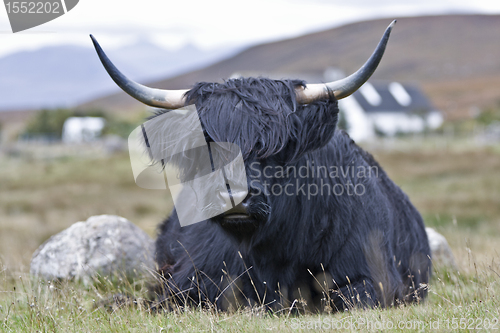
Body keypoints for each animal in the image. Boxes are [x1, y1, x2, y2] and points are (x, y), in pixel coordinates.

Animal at [92, 20, 432, 312]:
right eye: (205, 144)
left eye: (278, 146)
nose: (234, 196)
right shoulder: (191, 278)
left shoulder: (374, 278)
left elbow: (350, 297)